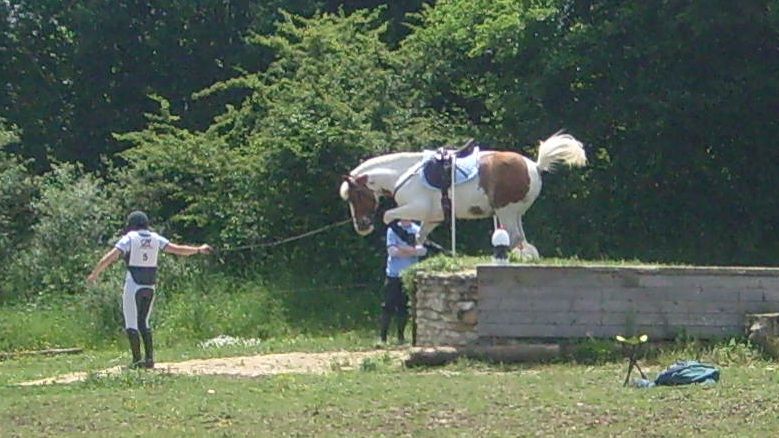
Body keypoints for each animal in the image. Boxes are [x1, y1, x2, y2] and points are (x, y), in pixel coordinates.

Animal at [339, 132, 587, 257]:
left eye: (355, 196)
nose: (361, 227)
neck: (401, 174)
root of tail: (534, 165)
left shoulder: (417, 208)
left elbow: (388, 216)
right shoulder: (433, 217)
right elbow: (419, 236)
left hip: (505, 211)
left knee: (517, 239)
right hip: (513, 213)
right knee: (521, 241)